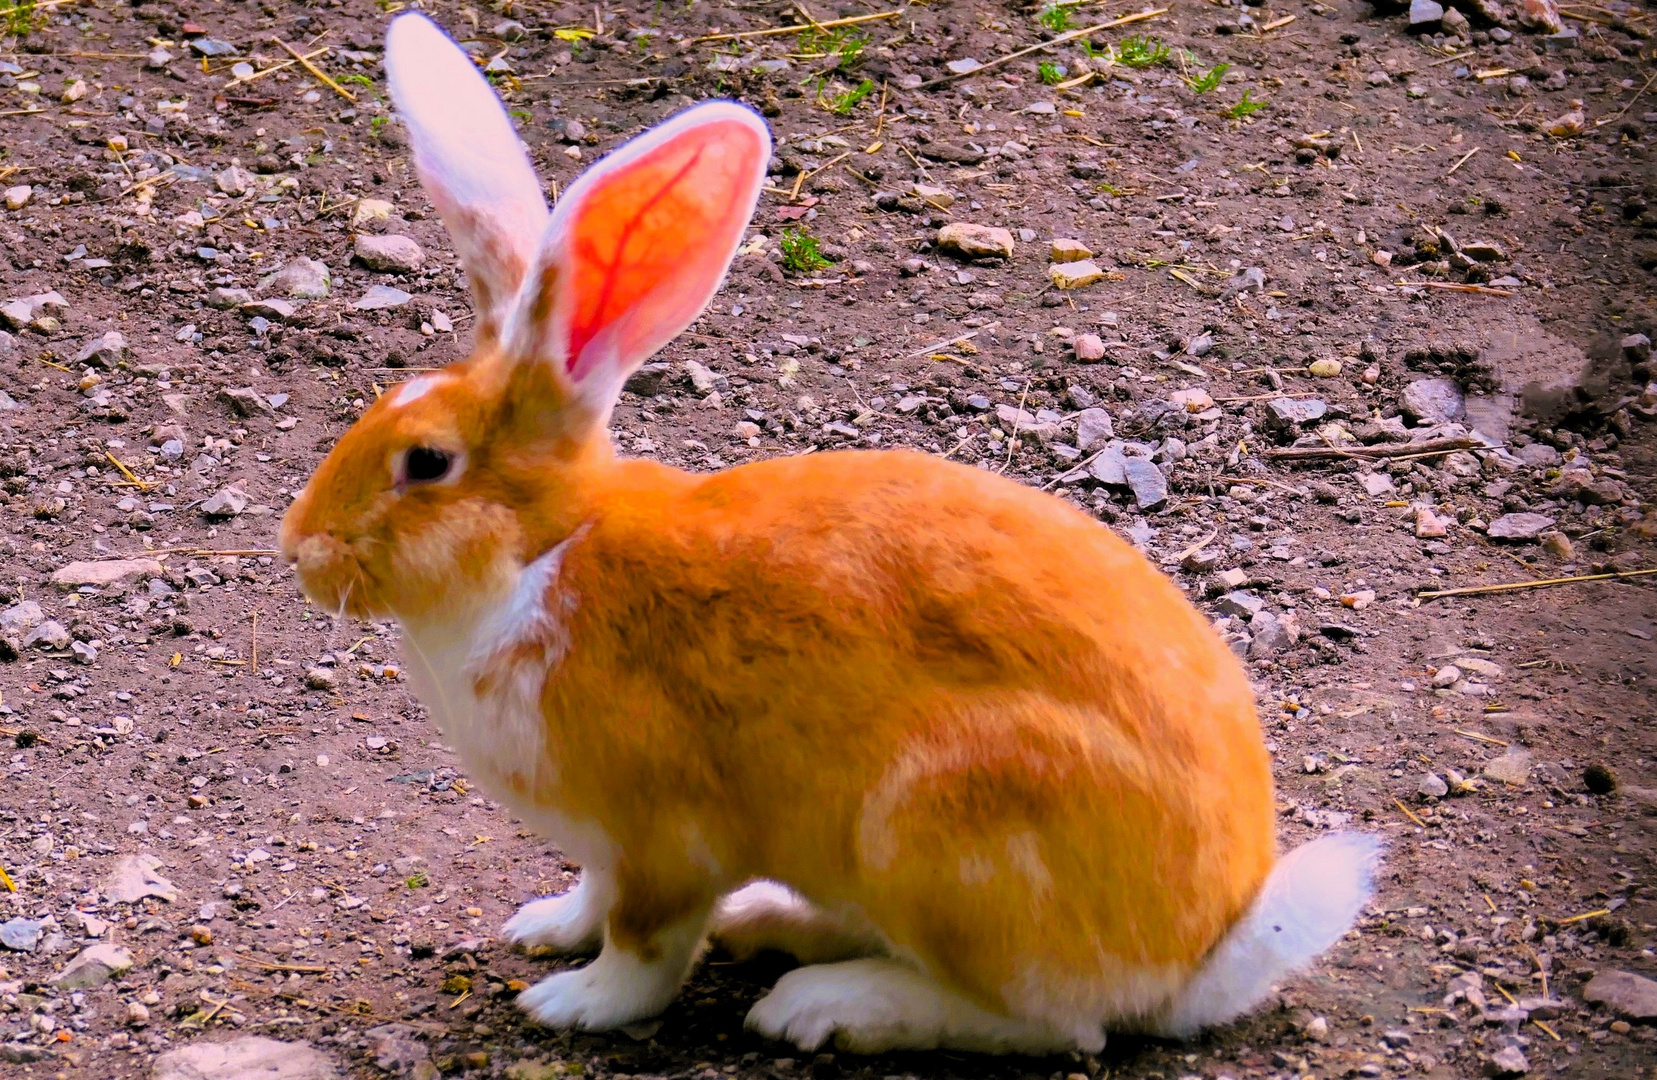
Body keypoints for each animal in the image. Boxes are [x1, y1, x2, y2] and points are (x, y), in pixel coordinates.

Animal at [285, 8, 1385, 1053]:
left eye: (426, 463)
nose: (300, 552)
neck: (544, 555)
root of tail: (1196, 955)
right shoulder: (604, 844)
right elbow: (591, 896)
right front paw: (543, 927)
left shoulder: (662, 838)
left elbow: (643, 947)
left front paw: (571, 1002)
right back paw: (777, 925)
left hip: (941, 824)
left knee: (1049, 1022)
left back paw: (823, 1005)